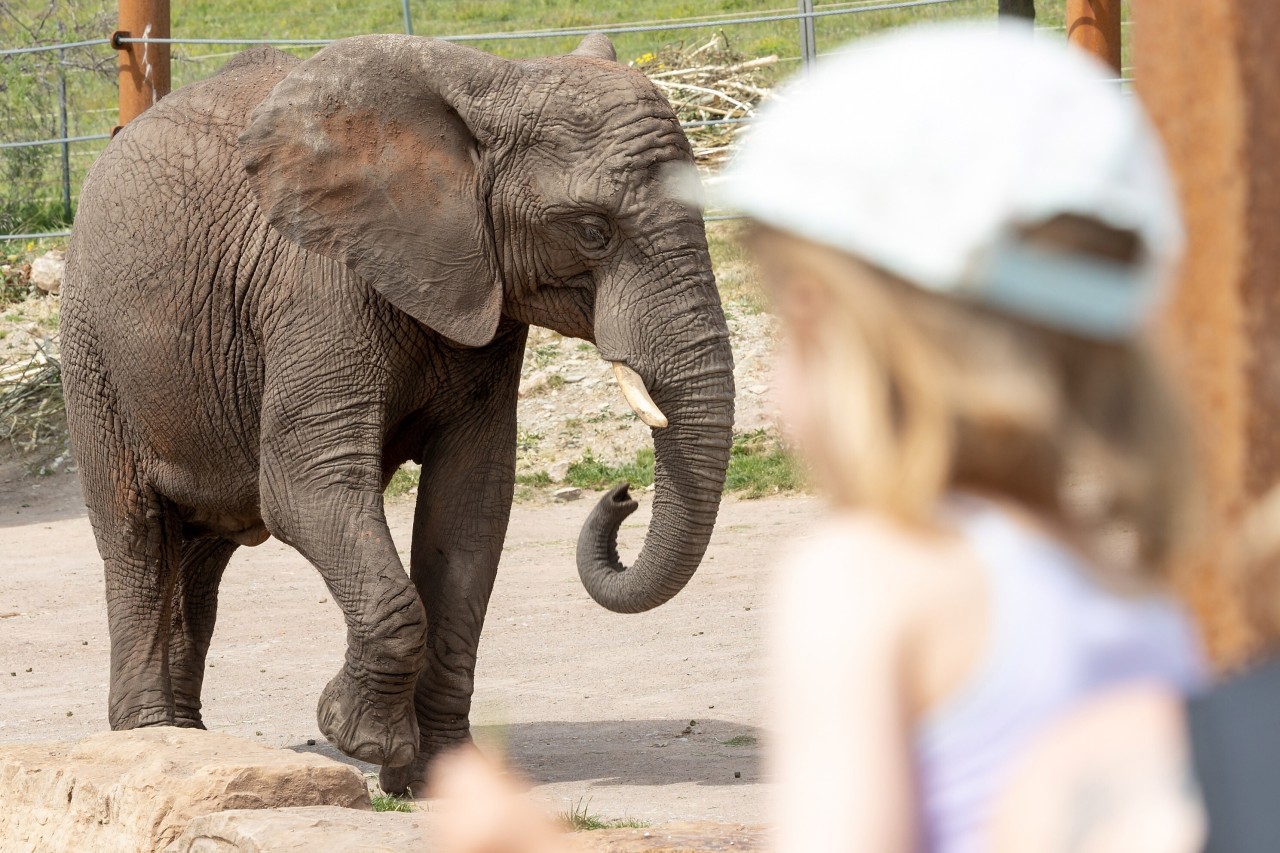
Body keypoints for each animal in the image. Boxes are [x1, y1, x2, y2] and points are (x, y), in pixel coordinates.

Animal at [60, 33, 737, 788]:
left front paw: (439, 778)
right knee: (138, 537)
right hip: (94, 350)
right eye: (593, 230)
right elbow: (305, 489)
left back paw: (190, 739)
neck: (488, 92)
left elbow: (469, 506)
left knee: (205, 550)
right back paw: (151, 738)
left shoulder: (483, 295)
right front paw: (357, 736)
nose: (623, 495)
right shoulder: (317, 290)